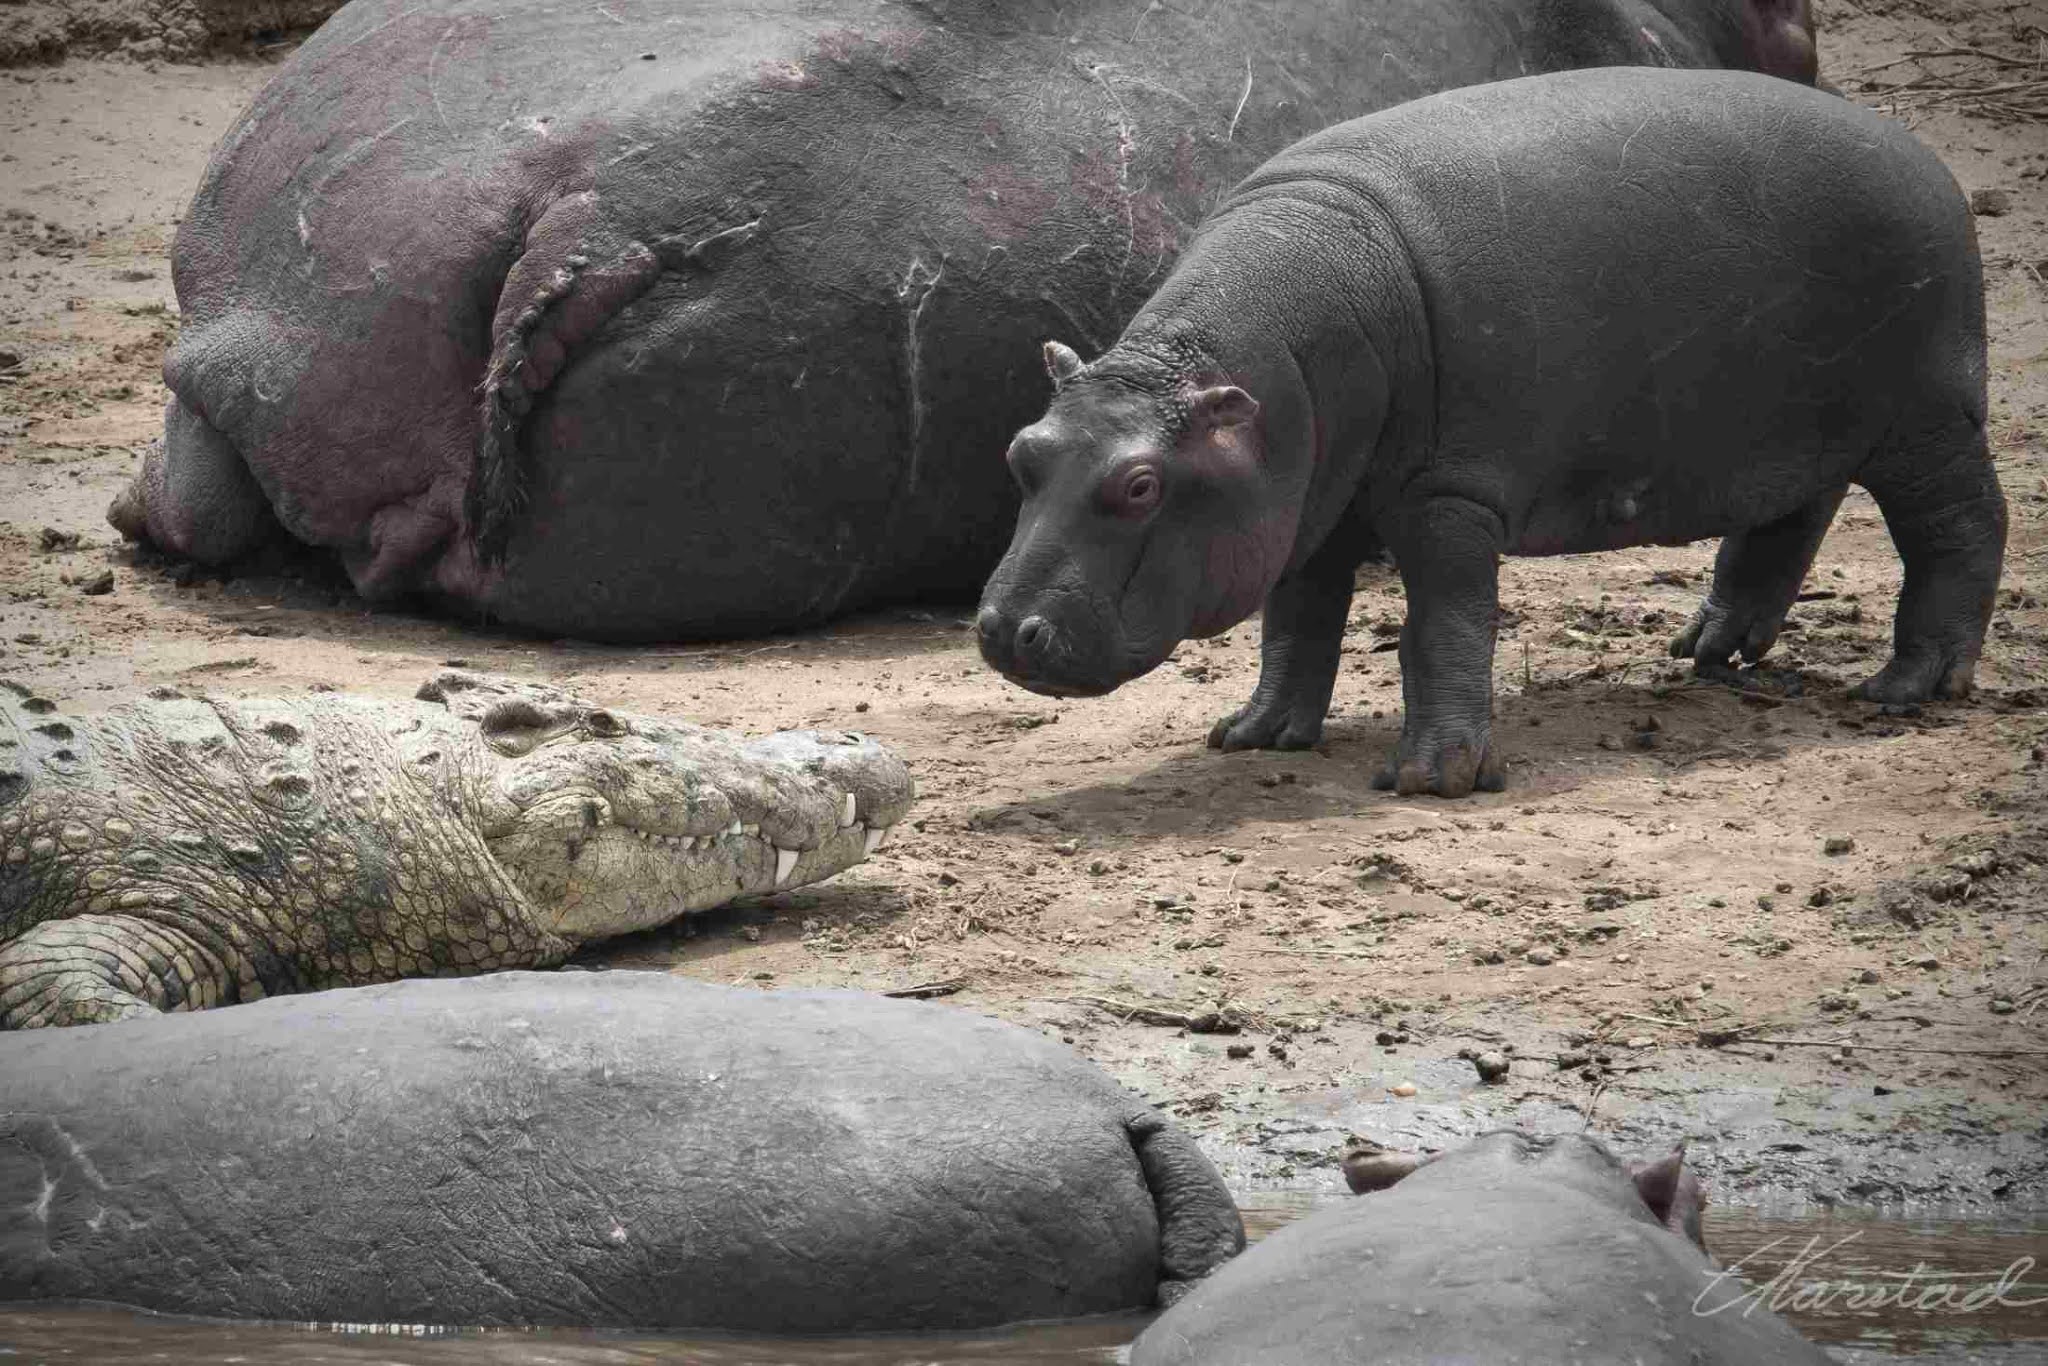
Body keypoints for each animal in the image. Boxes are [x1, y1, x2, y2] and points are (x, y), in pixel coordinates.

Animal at [974, 69, 1998, 794]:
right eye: (1021, 452)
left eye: (1140, 485)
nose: (999, 628)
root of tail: (1924, 155)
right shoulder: (1308, 500)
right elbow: (1296, 624)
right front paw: (1252, 736)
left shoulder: (1448, 496)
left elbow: (1445, 626)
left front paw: (1432, 779)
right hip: (1794, 424)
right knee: (1791, 514)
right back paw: (1708, 649)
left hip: (1928, 422)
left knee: (1962, 529)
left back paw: (1908, 687)